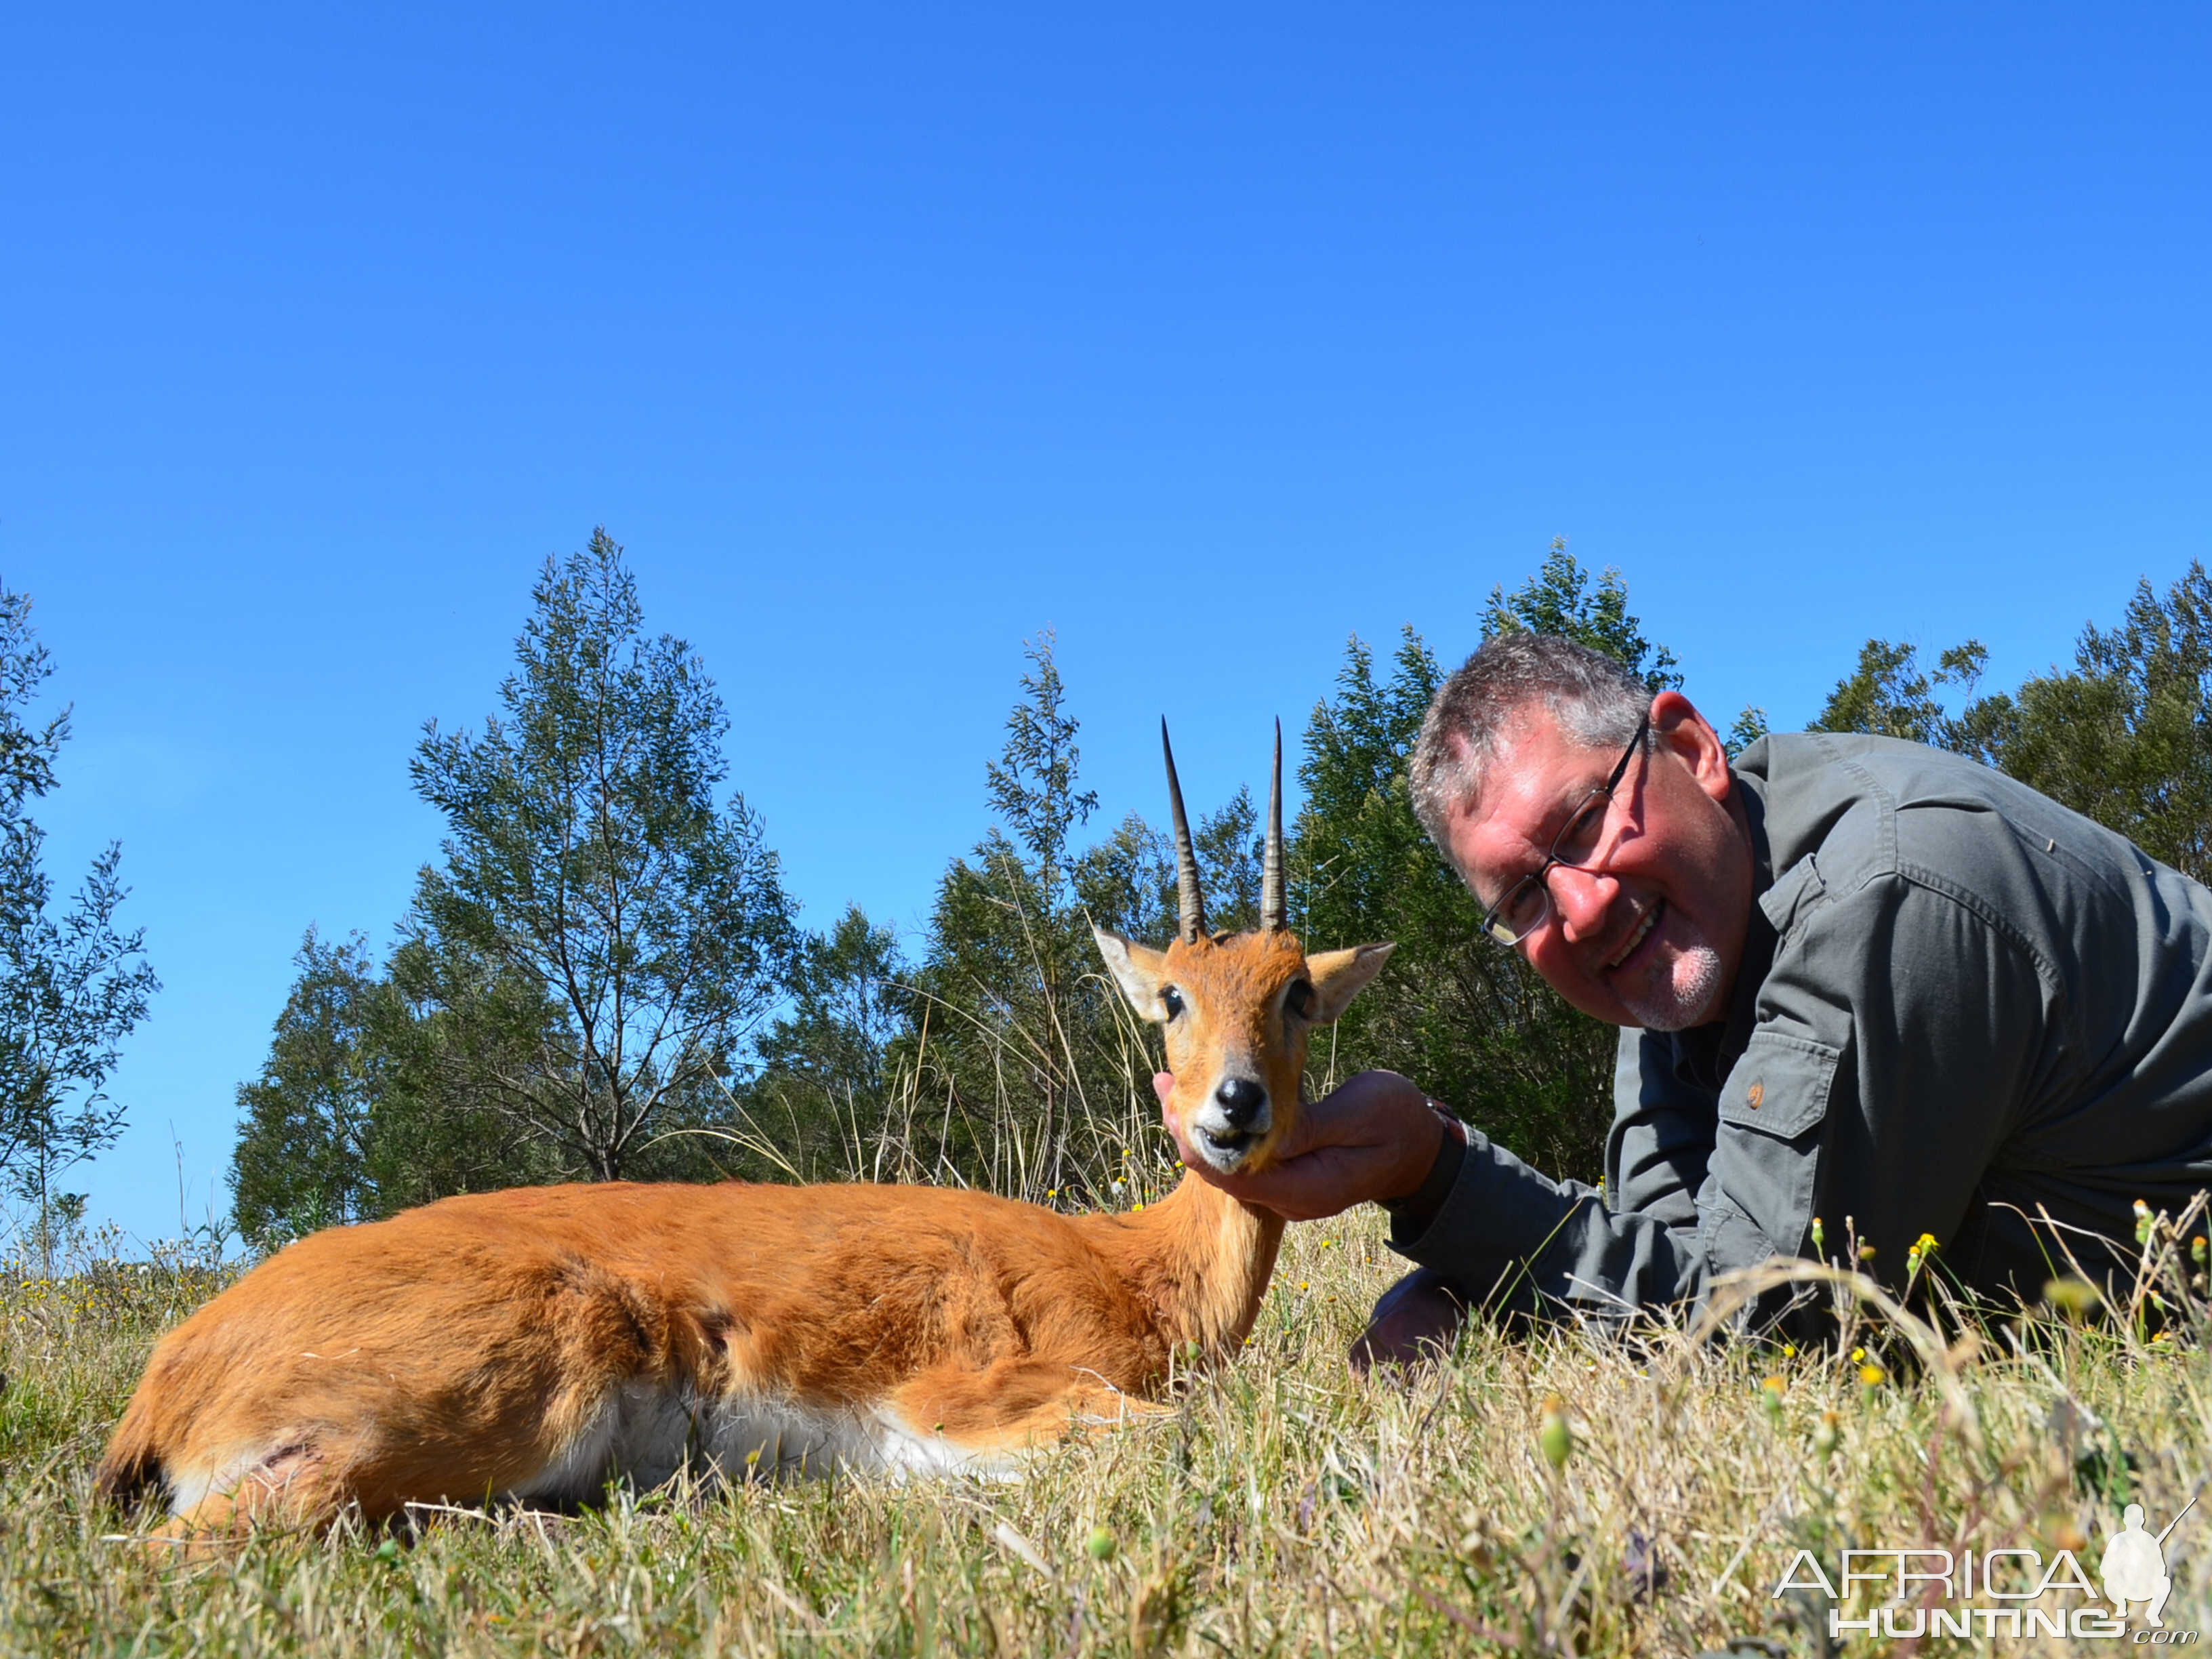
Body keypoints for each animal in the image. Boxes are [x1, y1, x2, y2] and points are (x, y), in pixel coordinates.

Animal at [104, 730, 1389, 1548]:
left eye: (1295, 993)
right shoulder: (966, 1386)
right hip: (498, 1391)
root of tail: (164, 1383)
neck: (1137, 1270)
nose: (1234, 1103)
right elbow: (1178, 1428)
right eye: (1172, 996)